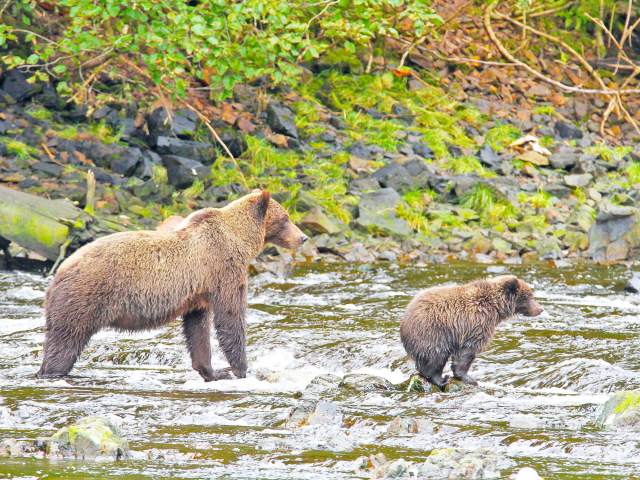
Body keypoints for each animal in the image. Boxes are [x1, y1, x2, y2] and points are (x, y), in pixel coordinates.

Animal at [37, 191, 308, 382]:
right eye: (286, 218)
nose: (303, 237)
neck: (240, 240)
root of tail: (59, 272)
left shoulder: (199, 291)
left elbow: (197, 328)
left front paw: (212, 371)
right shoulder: (223, 268)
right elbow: (230, 317)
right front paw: (240, 369)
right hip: (85, 297)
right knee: (66, 341)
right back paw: (53, 372)